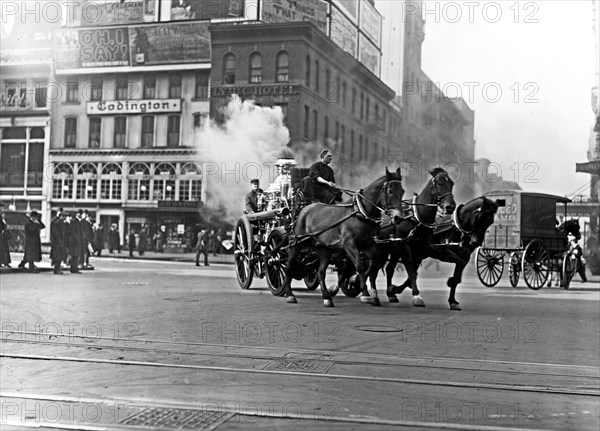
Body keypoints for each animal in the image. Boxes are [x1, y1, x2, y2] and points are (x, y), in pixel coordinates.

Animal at [280, 168, 404, 308]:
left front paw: (359, 284)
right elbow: (359, 266)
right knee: (288, 266)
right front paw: (365, 292)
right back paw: (289, 294)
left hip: (323, 248)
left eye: (402, 191)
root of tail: (305, 208)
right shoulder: (349, 245)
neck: (360, 212)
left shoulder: (367, 244)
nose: (398, 217)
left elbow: (374, 263)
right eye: (390, 191)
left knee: (320, 272)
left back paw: (326, 297)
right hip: (297, 243)